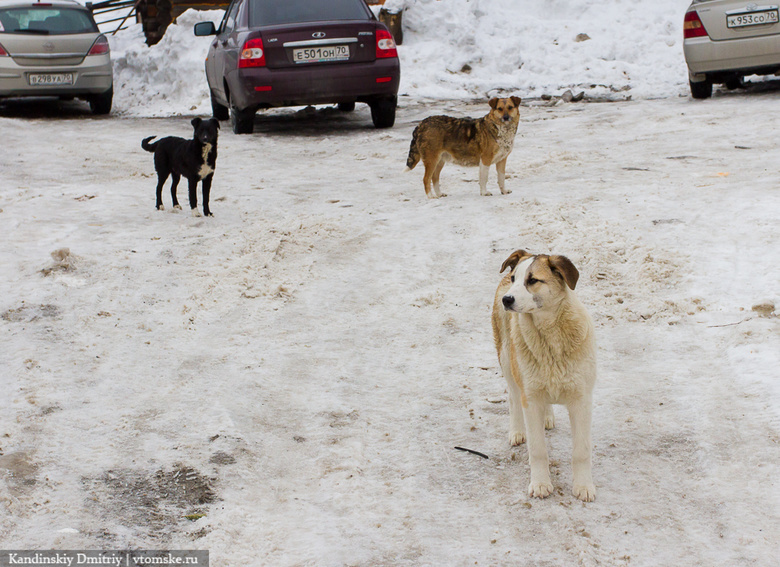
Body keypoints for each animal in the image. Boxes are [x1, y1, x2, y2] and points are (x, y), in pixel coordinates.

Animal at [494, 248, 596, 502]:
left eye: (532, 280)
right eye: (514, 279)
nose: (507, 299)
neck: (550, 335)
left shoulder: (581, 399)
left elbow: (581, 451)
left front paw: (583, 486)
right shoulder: (530, 398)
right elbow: (538, 449)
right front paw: (540, 484)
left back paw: (548, 416)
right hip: (507, 359)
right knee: (513, 397)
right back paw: (517, 431)